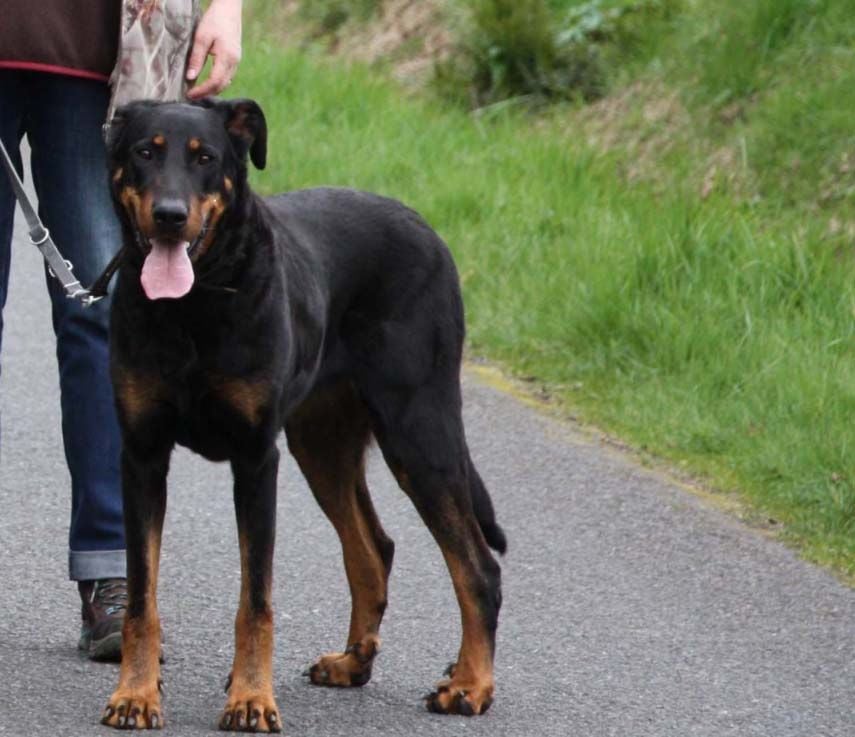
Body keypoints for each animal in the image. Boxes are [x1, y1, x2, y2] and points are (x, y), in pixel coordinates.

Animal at [99, 99, 504, 732]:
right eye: (145, 151)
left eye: (205, 158)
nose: (169, 216)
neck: (197, 303)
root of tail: (428, 231)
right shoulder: (142, 454)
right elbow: (143, 595)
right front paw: (136, 694)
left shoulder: (256, 459)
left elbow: (256, 599)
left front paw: (250, 698)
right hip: (322, 442)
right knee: (374, 550)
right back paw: (353, 663)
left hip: (419, 428)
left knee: (478, 567)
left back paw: (470, 685)